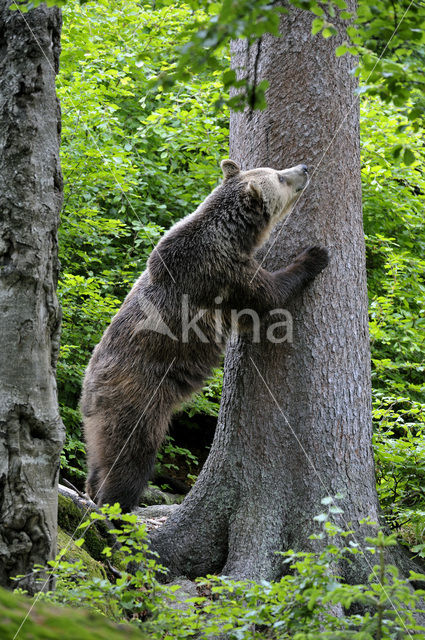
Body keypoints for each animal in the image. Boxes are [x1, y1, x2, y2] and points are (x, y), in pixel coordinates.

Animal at [82, 159, 328, 510]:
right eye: (280, 177)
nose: (304, 167)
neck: (230, 236)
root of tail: (90, 385)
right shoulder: (222, 274)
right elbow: (268, 296)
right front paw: (314, 256)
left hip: (100, 413)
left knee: (98, 453)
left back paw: (92, 488)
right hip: (140, 398)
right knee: (130, 456)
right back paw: (116, 506)